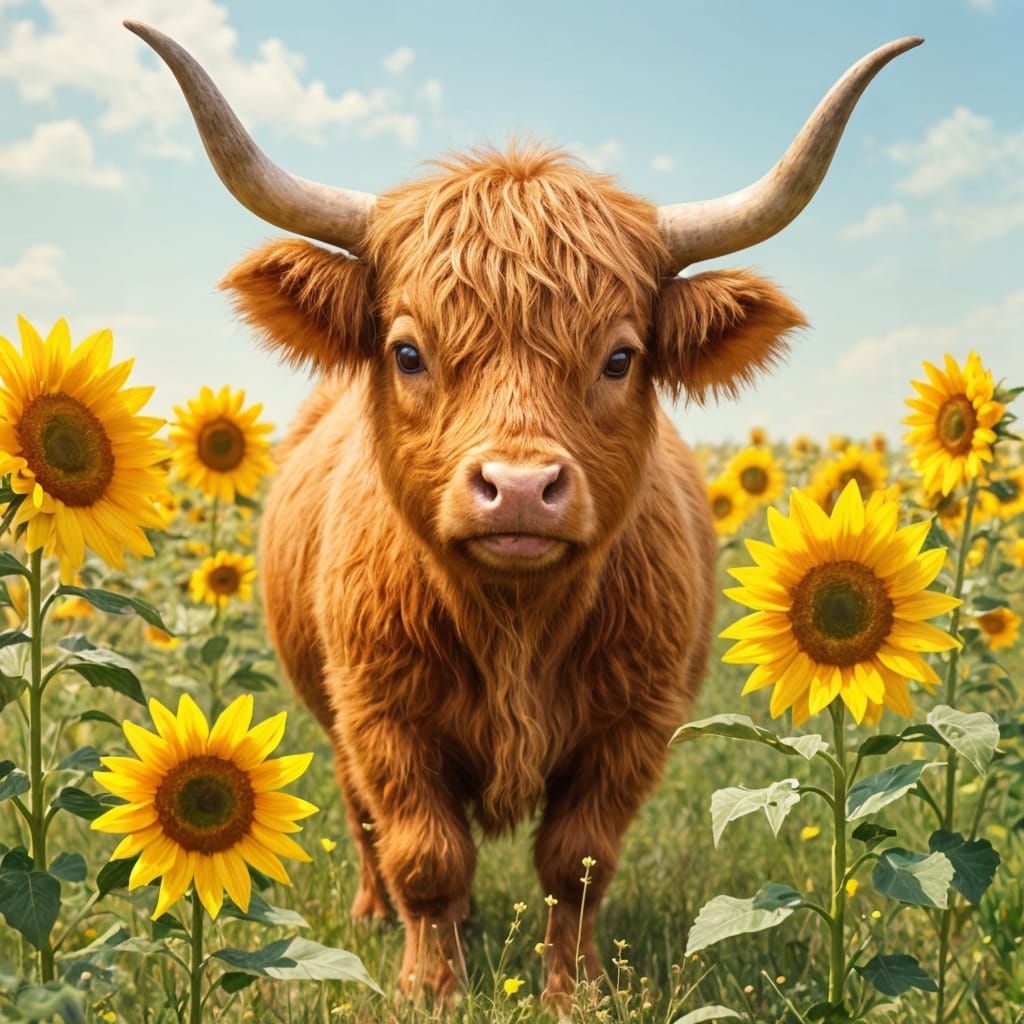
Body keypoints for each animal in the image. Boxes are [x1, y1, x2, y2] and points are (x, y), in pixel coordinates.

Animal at [127, 22, 920, 1005]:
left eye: (620, 357)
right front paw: (430, 988)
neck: (513, 623)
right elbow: (425, 854)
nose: (516, 487)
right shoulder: (383, 715)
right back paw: (377, 915)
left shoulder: (632, 725)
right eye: (407, 351)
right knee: (366, 824)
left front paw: (576, 989)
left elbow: (576, 863)